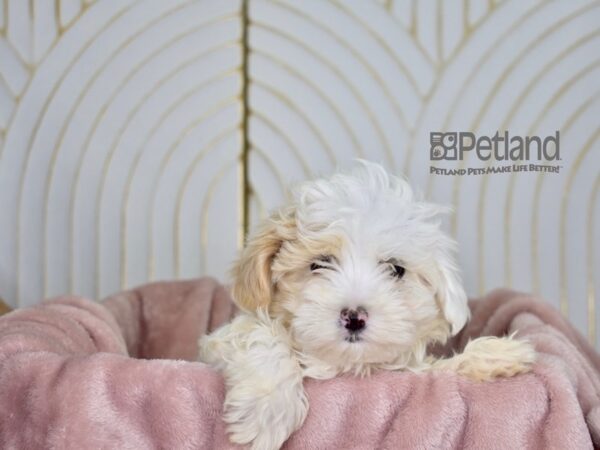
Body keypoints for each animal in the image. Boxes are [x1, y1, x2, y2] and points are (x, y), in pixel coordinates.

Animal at [200, 160, 536, 448]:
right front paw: (267, 409)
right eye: (319, 264)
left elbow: (438, 370)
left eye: (395, 269)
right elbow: (258, 334)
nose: (354, 317)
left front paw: (496, 357)